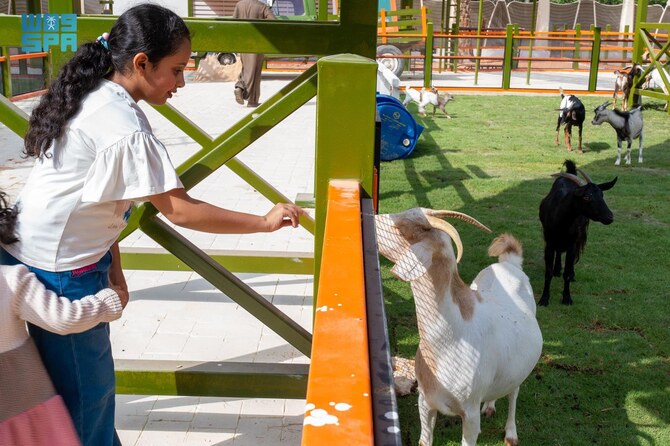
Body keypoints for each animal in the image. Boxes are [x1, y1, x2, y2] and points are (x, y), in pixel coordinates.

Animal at [376, 209, 544, 446]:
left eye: (401, 228)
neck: (451, 339)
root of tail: (509, 263)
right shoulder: (425, 401)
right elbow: (424, 441)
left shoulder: (470, 413)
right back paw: (490, 406)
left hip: (519, 367)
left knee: (514, 392)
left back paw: (511, 434)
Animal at [540, 161, 620, 306]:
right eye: (587, 197)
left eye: (602, 195)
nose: (609, 217)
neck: (561, 221)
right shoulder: (549, 243)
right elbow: (547, 273)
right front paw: (544, 299)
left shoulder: (572, 243)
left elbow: (567, 272)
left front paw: (567, 298)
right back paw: (557, 269)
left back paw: (570, 274)